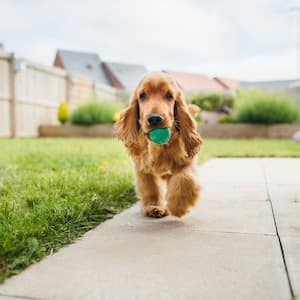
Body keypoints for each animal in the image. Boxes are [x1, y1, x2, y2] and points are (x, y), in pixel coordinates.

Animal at [116, 72, 203, 218]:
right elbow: (151, 187)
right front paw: (154, 206)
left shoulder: (187, 161)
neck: (159, 147)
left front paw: (178, 206)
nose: (155, 118)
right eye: (142, 96)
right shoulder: (143, 168)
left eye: (169, 95)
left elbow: (185, 179)